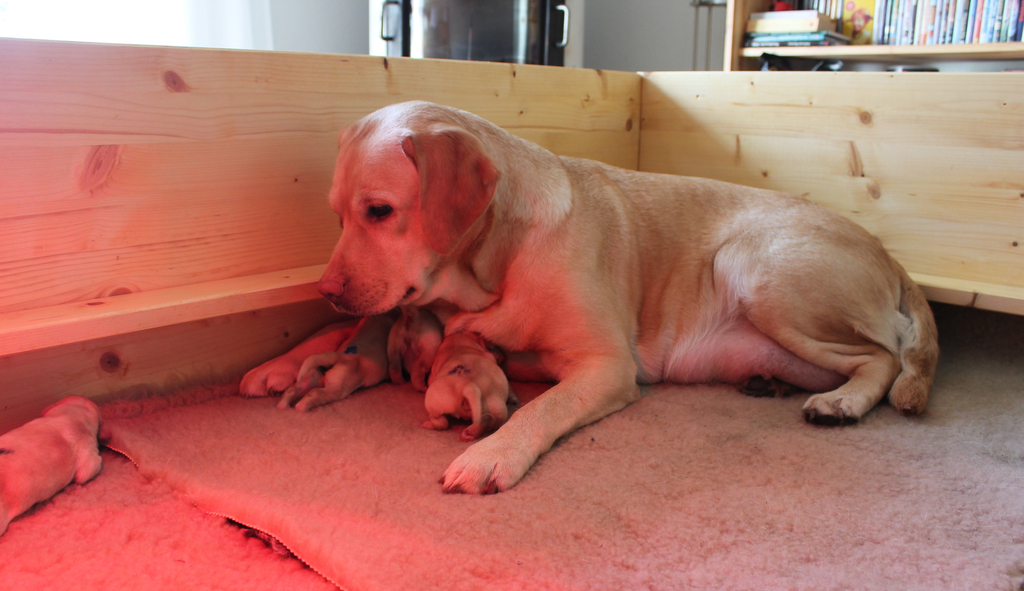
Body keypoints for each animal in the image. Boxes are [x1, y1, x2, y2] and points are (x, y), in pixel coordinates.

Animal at [244, 100, 938, 495]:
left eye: (380, 211)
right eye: (337, 216)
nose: (327, 289)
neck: (496, 265)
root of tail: (889, 254)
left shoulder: (606, 366)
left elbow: (540, 409)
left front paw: (492, 454)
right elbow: (336, 333)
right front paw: (279, 363)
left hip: (754, 267)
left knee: (884, 356)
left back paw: (843, 403)